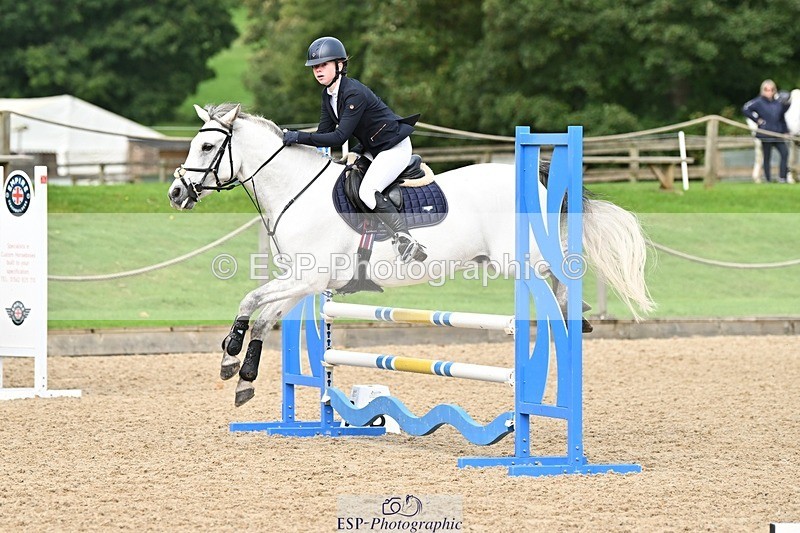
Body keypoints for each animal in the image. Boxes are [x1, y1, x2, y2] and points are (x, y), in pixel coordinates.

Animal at [168, 103, 655, 407]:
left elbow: (250, 300)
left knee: (559, 274)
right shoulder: (306, 283)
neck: (295, 192)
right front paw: (241, 375)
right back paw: (582, 313)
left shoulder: (307, 279)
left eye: (207, 147)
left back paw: (578, 311)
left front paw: (230, 352)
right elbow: (263, 314)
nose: (176, 193)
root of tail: (535, 175)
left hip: (518, 261)